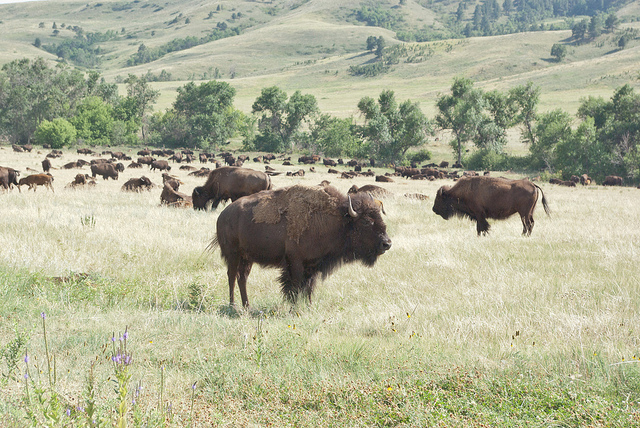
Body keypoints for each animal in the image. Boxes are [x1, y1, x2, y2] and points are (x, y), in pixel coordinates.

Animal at [211, 184, 390, 308]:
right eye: (366, 221)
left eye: (380, 217)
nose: (387, 243)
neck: (338, 220)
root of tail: (222, 216)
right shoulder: (295, 262)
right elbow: (296, 286)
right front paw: (295, 307)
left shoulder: (312, 265)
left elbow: (309, 287)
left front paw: (309, 306)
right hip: (233, 255)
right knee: (232, 276)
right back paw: (233, 305)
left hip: (247, 258)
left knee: (242, 278)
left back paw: (246, 306)